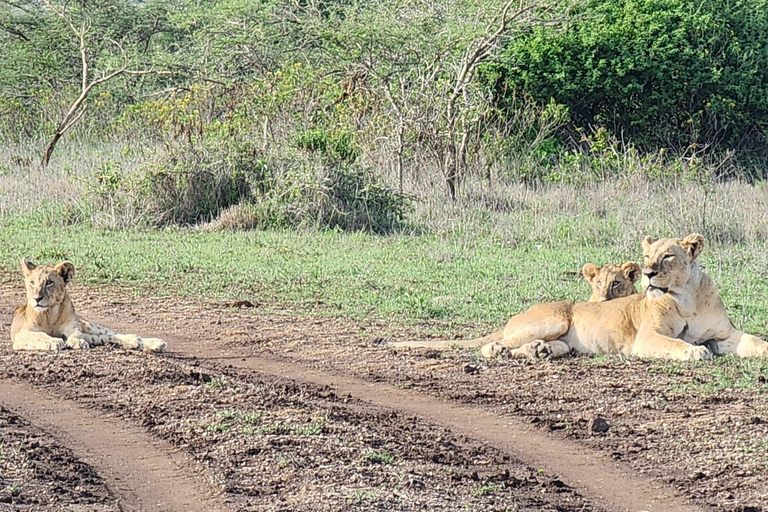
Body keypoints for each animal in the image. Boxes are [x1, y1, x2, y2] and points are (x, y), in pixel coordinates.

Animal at [10, 258, 167, 354]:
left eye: (49, 282)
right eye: (32, 283)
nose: (37, 298)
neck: (50, 313)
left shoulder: (73, 328)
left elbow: (76, 335)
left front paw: (76, 342)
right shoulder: (21, 334)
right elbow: (39, 336)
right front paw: (54, 342)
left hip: (90, 326)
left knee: (109, 334)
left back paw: (152, 342)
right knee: (105, 337)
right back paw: (137, 341)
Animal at [390, 235, 768, 360]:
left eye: (668, 257)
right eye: (648, 256)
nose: (648, 273)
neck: (685, 296)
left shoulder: (725, 334)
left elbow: (751, 340)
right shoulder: (646, 337)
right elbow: (676, 344)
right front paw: (695, 352)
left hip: (561, 338)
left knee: (542, 347)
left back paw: (538, 352)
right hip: (553, 319)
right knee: (492, 345)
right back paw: (502, 350)